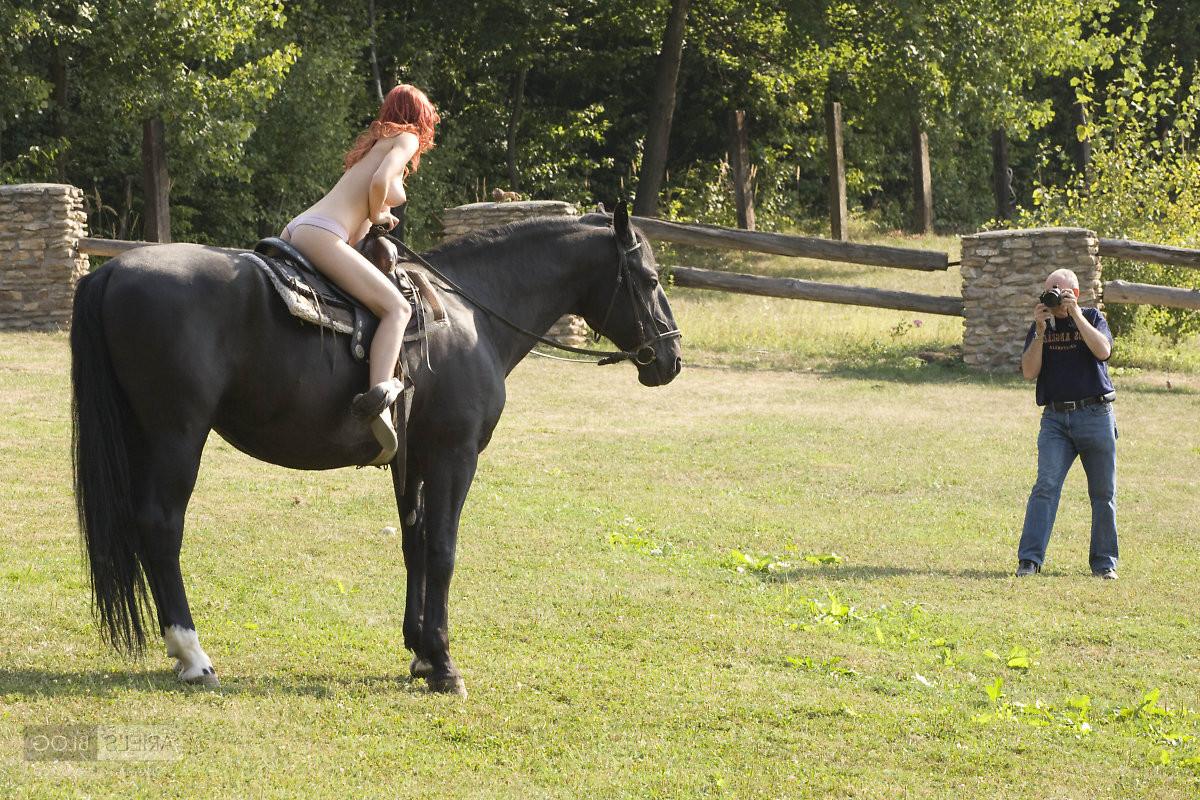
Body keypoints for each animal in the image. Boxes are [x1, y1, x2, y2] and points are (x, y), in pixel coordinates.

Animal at [69, 204, 682, 696]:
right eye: (649, 278)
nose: (671, 358)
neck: (469, 316)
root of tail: (113, 270)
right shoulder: (455, 456)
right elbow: (443, 549)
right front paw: (445, 664)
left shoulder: (413, 460)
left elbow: (415, 544)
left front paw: (420, 651)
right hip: (176, 436)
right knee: (160, 526)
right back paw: (192, 655)